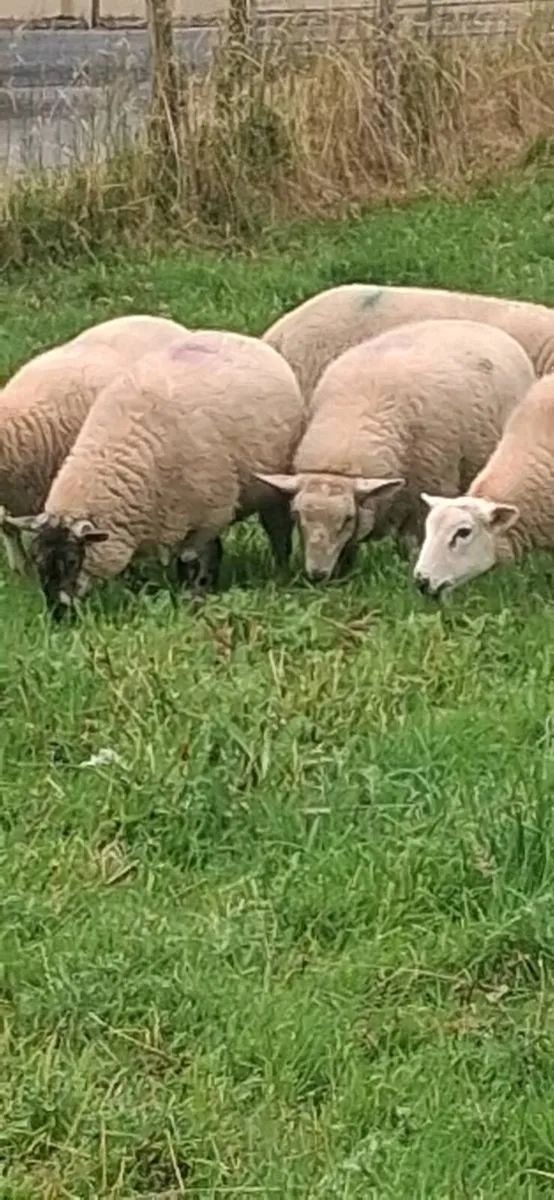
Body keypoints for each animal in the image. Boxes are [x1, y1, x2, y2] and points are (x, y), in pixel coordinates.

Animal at [256, 318, 535, 583]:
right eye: (296, 515)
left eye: (347, 518)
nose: (316, 575)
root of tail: (483, 326)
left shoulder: (425, 495)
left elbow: (411, 543)